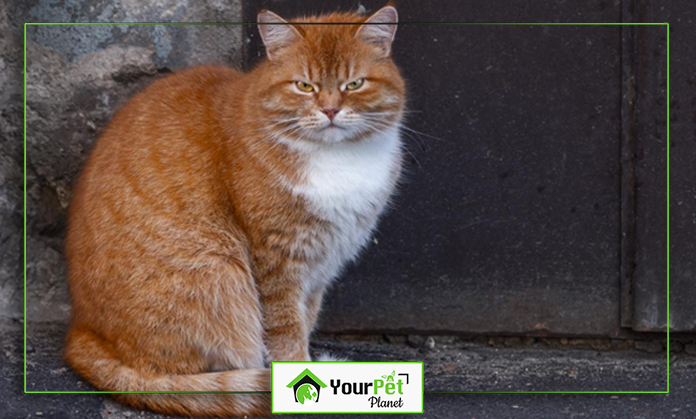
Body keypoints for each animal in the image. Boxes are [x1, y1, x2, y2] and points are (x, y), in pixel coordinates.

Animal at [63, 4, 406, 418]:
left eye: (354, 84)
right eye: (304, 86)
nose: (330, 109)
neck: (337, 159)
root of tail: (82, 332)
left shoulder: (321, 264)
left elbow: (306, 318)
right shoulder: (277, 260)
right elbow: (286, 329)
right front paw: (298, 378)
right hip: (217, 269)